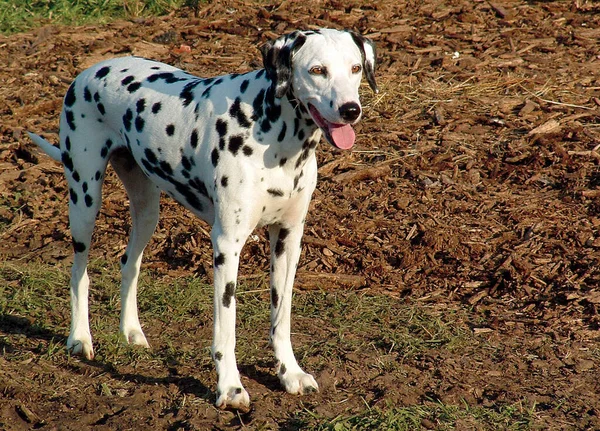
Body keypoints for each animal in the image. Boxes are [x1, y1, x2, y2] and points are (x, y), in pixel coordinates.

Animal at [28, 27, 378, 412]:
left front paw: (290, 373)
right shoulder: (227, 246)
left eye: (355, 68)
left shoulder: (288, 240)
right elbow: (227, 327)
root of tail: (88, 71)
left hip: (147, 210)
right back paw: (79, 337)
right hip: (85, 201)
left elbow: (281, 318)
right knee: (79, 271)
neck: (275, 137)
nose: (351, 110)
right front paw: (230, 388)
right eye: (317, 70)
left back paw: (131, 331)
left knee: (128, 263)